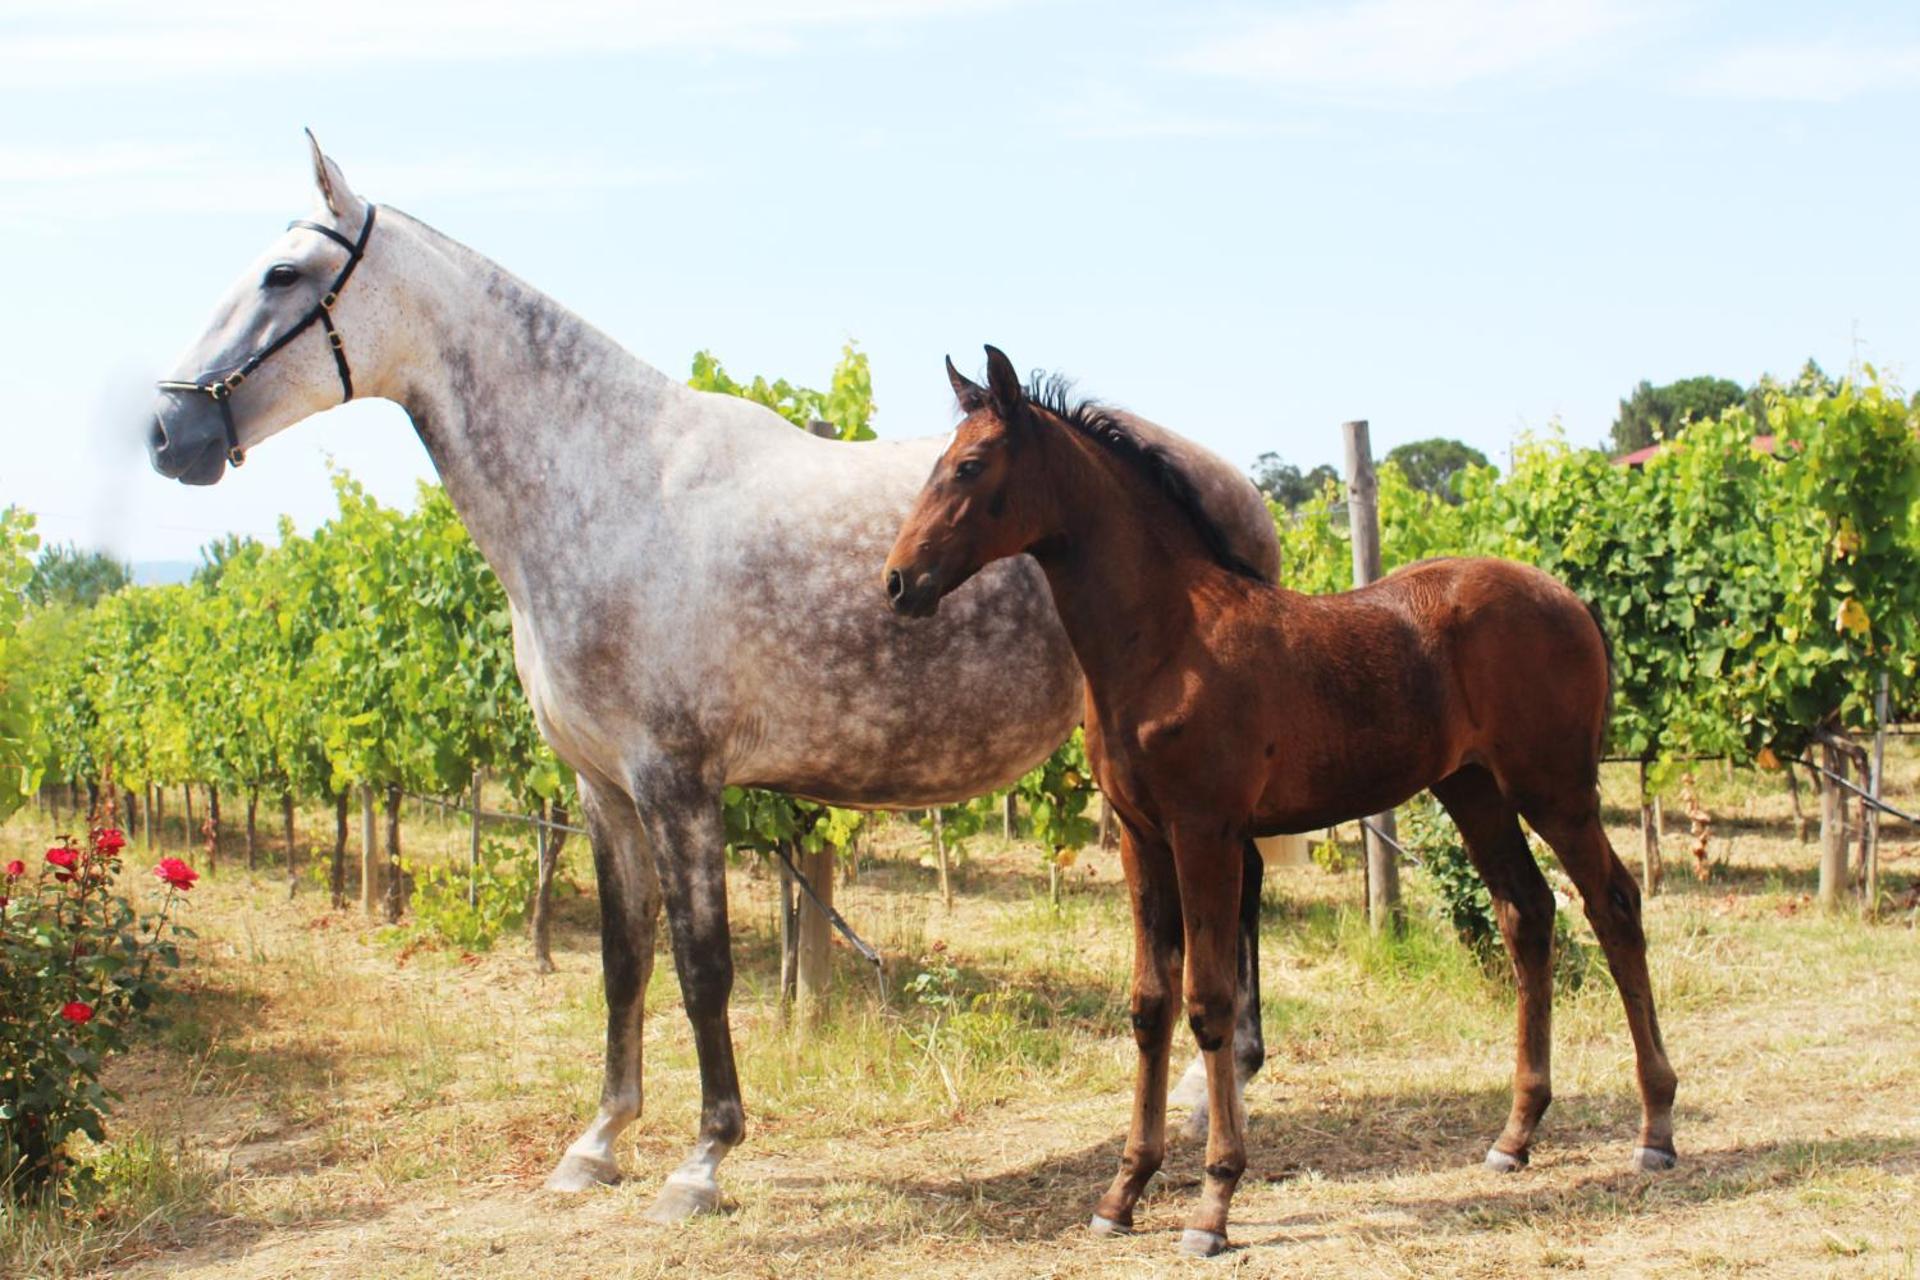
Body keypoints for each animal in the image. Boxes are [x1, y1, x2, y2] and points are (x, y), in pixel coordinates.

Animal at [144, 136, 1281, 1221]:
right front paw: (597, 1144)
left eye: (282, 274)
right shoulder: (599, 788)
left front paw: (702, 1161)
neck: (606, 487)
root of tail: (1234, 485)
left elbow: (702, 968)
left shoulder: (678, 782)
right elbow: (623, 961)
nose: (167, 431)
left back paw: (1204, 1094)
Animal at [883, 347, 1679, 1257]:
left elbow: (1211, 1003)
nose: (898, 582)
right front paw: (1123, 1192)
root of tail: (1570, 598)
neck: (1166, 639)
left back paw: (1656, 1130)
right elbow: (1150, 1004)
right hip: (1472, 789)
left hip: (1555, 786)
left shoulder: (1208, 833)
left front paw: (1213, 1205)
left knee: (1613, 904)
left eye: (970, 465)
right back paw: (1515, 1137)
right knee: (1528, 913)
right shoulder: (1141, 839)